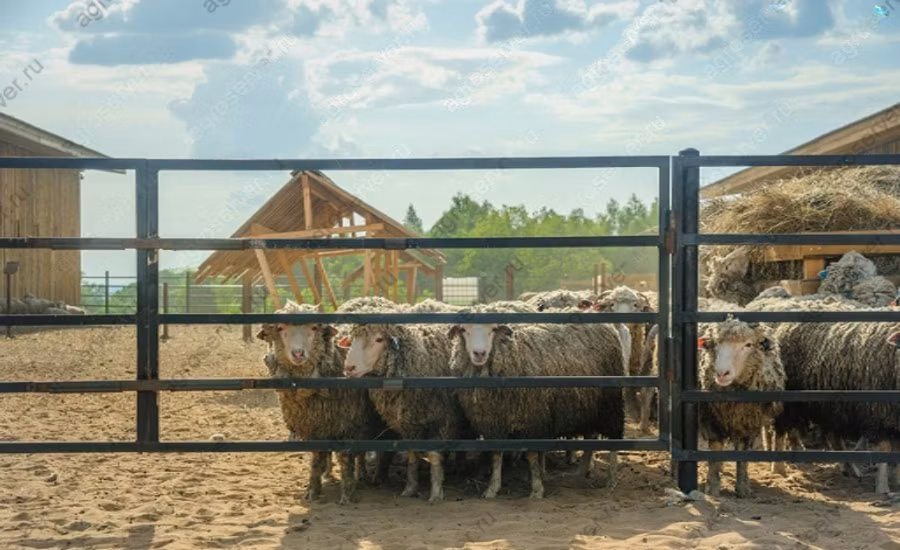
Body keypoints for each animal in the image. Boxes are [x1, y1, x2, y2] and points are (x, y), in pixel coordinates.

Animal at [256, 300, 393, 505]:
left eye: (314, 327)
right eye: (280, 328)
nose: (298, 353)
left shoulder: (347, 425)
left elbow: (346, 459)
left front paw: (347, 492)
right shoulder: (313, 427)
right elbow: (315, 458)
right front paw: (313, 490)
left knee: (363, 452)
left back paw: (363, 476)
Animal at [339, 305, 472, 503]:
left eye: (379, 339)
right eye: (353, 340)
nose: (349, 368)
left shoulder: (442, 419)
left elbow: (434, 455)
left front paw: (436, 492)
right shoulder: (407, 422)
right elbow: (411, 454)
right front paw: (410, 488)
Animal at [447, 302, 626, 499]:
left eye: (493, 329)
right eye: (464, 330)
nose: (479, 353)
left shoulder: (532, 418)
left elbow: (532, 455)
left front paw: (537, 489)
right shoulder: (493, 421)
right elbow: (496, 454)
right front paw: (492, 488)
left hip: (610, 403)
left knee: (613, 439)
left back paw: (611, 479)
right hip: (588, 405)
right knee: (591, 437)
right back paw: (582, 471)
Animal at [697, 315, 786, 498]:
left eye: (748, 345)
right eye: (715, 344)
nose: (721, 373)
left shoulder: (749, 421)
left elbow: (742, 451)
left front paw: (743, 487)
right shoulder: (710, 417)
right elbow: (716, 447)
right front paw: (713, 486)